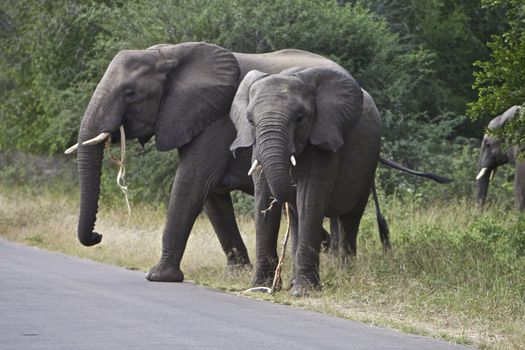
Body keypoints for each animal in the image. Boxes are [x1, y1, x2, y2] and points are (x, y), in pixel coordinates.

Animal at [65, 41, 344, 282]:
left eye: (130, 93)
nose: (97, 235)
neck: (168, 54)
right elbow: (212, 196)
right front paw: (237, 274)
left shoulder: (217, 119)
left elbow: (193, 181)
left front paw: (158, 276)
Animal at [229, 65, 376, 296]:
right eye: (250, 121)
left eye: (299, 119)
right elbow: (264, 200)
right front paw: (260, 287)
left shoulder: (323, 139)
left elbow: (309, 199)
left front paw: (303, 292)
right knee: (299, 220)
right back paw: (292, 282)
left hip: (367, 168)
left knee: (349, 219)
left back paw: (345, 273)